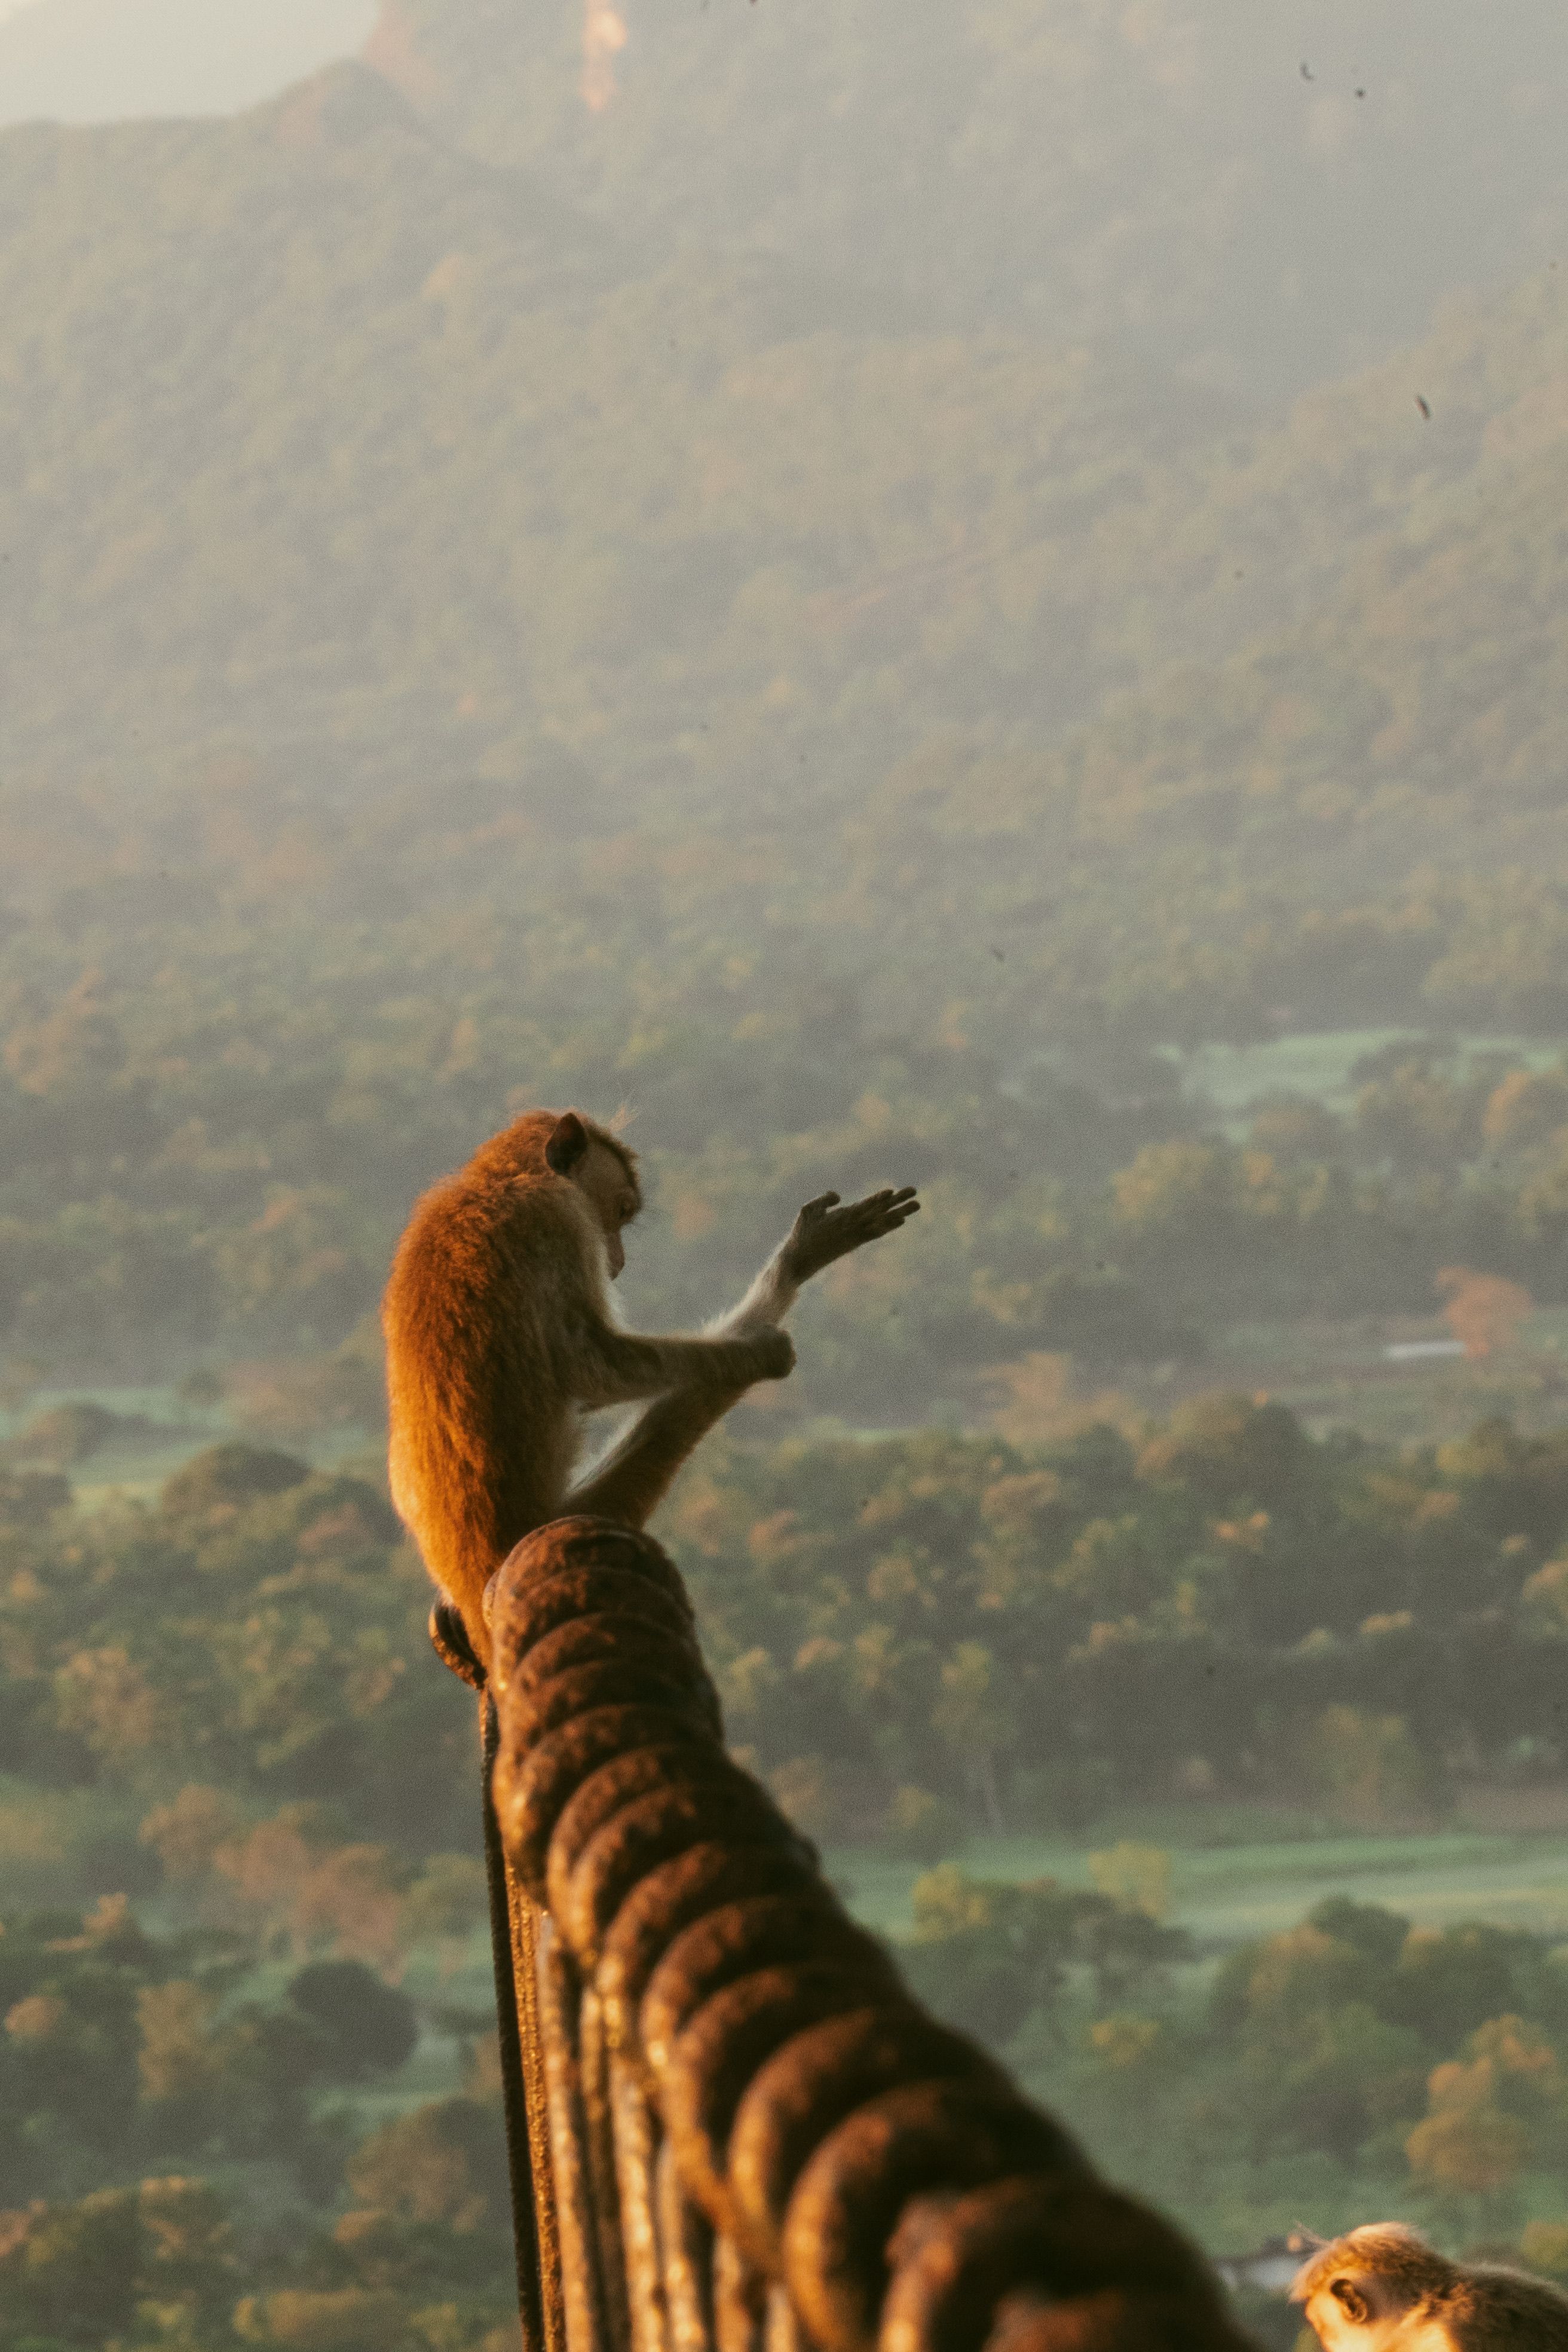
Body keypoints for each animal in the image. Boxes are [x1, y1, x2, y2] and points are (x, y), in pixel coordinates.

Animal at [382, 1105, 919, 1668]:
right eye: (616, 1212)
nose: (616, 1263)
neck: (500, 1181)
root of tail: (477, 1586)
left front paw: (804, 1254)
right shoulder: (557, 1220)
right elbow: (591, 1367)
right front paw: (756, 1349)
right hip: (580, 1519)